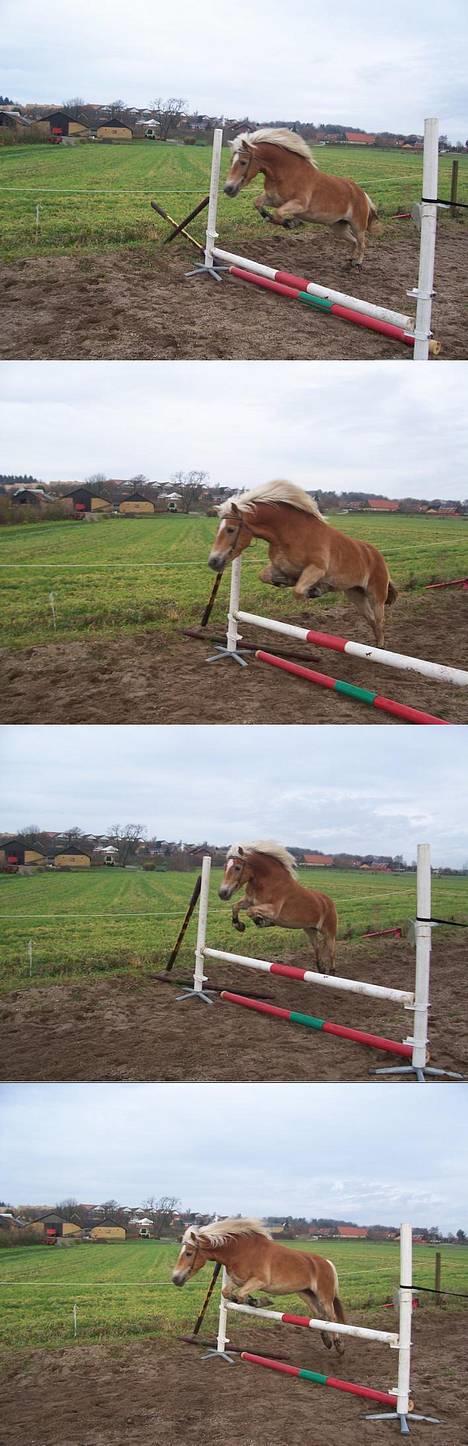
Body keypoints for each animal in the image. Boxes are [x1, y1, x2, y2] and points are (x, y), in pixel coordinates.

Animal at [169, 1220, 345, 1353]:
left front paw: (259, 1301)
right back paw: (326, 1340)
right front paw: (256, 1301)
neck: (240, 1251)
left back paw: (338, 1345)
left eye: (189, 1253)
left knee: (331, 1318)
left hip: (324, 1297)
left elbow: (240, 1295)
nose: (175, 1278)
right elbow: (228, 1293)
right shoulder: (238, 1281)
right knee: (320, 1316)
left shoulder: (259, 1281)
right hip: (306, 1294)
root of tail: (327, 1263)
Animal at [208, 480, 395, 644]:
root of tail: (378, 557)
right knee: (371, 620)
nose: (213, 562)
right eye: (218, 529)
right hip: (355, 594)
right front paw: (287, 582)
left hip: (376, 596)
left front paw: (314, 590)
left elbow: (298, 591)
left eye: (230, 529)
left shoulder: (317, 569)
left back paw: (380, 648)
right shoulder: (279, 567)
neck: (290, 533)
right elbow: (265, 576)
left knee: (379, 621)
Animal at [218, 844, 338, 977]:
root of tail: (329, 902)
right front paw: (239, 925)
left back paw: (331, 973)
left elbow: (250, 911)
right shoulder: (248, 901)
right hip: (310, 929)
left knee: (332, 951)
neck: (267, 881)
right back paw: (321, 969)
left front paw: (261, 922)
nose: (223, 893)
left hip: (329, 932)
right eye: (225, 867)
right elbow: (235, 906)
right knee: (317, 947)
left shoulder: (273, 910)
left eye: (237, 868)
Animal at [223, 128, 381, 267]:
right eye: (231, 161)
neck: (287, 173)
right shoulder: (273, 199)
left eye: (243, 162)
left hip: (357, 226)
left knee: (362, 242)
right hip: (338, 227)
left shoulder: (299, 204)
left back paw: (357, 262)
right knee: (353, 241)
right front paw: (275, 219)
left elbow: (278, 213)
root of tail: (363, 194)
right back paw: (351, 258)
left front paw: (291, 223)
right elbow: (257, 203)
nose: (228, 189)